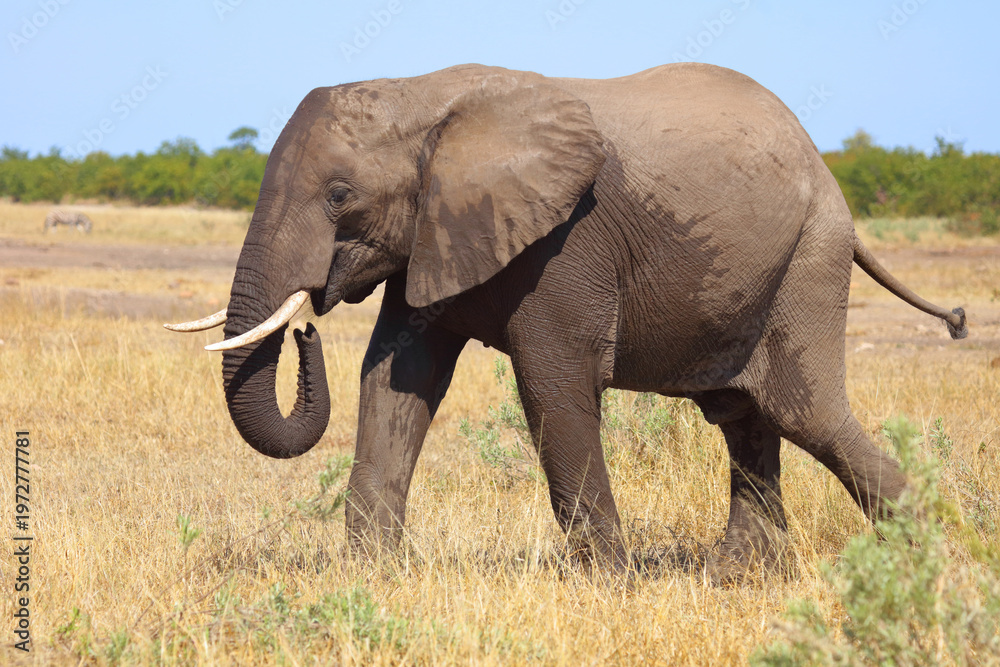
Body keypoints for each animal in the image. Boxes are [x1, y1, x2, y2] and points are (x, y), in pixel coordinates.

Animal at [167, 63, 966, 581]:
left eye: (339, 195)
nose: (305, 329)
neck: (425, 94)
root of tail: (828, 173)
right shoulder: (439, 229)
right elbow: (397, 377)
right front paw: (370, 577)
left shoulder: (565, 240)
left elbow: (552, 385)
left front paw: (610, 585)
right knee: (746, 416)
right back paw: (739, 576)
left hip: (809, 258)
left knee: (805, 412)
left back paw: (930, 555)